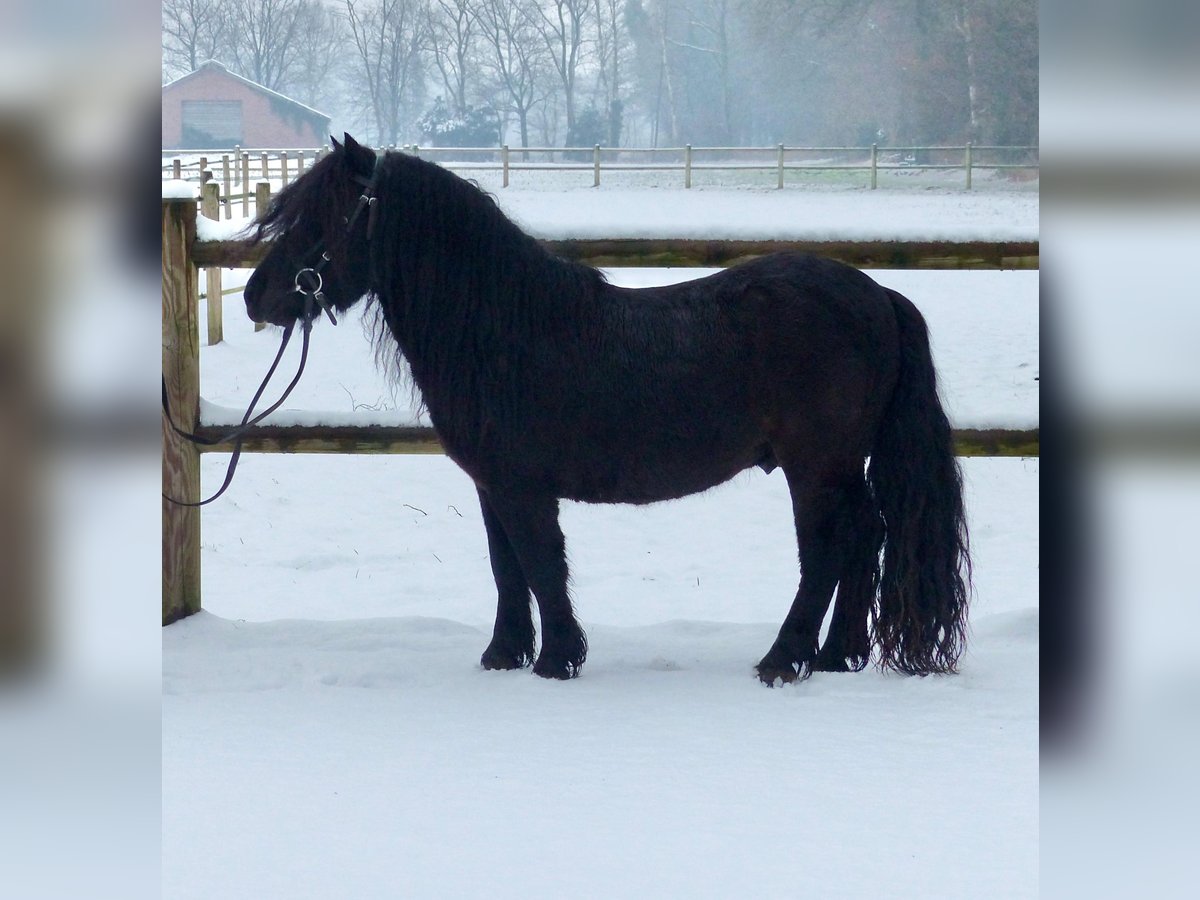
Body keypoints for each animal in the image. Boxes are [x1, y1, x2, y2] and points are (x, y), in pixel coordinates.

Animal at [243, 132, 964, 681]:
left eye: (319, 219)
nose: (256, 297)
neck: (504, 329)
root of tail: (877, 295)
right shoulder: (492, 485)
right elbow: (508, 568)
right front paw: (504, 654)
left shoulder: (523, 486)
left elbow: (540, 564)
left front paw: (557, 659)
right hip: (840, 466)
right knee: (867, 533)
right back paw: (839, 655)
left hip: (814, 465)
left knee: (827, 548)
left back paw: (784, 661)